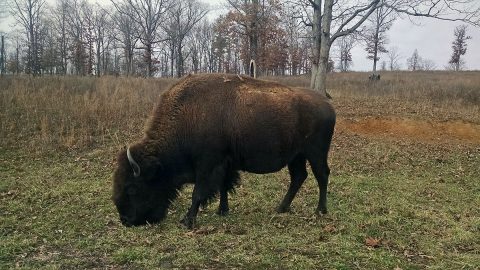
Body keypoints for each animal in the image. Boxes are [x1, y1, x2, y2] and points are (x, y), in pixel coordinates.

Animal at [113, 73, 338, 228]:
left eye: (132, 188)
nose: (125, 220)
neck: (188, 116)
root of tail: (327, 105)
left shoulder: (207, 165)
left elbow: (198, 193)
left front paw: (187, 220)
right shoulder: (224, 165)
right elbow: (223, 187)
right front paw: (222, 211)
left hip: (315, 153)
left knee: (321, 175)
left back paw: (320, 210)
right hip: (296, 156)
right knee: (299, 177)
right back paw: (281, 208)